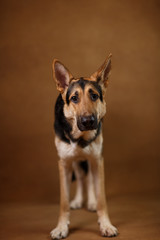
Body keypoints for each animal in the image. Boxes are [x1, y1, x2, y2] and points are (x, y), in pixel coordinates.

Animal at [50, 54, 118, 238]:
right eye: (74, 98)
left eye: (94, 96)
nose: (88, 121)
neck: (80, 137)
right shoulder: (64, 163)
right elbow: (64, 202)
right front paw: (62, 227)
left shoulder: (97, 160)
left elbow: (101, 198)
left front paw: (106, 225)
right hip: (74, 160)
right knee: (81, 177)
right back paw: (79, 200)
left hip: (90, 160)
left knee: (89, 179)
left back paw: (91, 202)